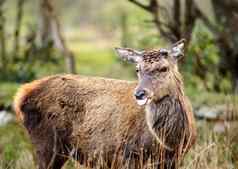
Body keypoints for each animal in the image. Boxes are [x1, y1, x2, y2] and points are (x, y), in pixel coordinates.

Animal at [13, 40, 196, 169]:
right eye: (137, 69)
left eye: (164, 68)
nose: (139, 94)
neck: (171, 141)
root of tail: (20, 96)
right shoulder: (128, 154)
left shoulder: (174, 158)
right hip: (46, 143)